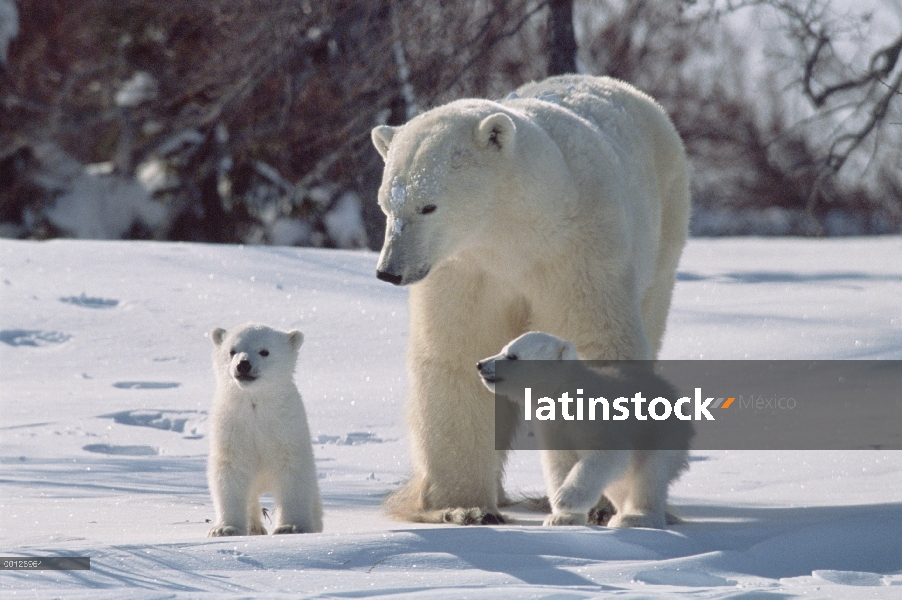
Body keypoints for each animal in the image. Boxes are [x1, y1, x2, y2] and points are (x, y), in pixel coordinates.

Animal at [370, 76, 688, 524]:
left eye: (427, 205)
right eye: (385, 204)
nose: (389, 271)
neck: (514, 235)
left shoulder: (576, 252)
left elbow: (594, 340)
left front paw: (595, 504)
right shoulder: (464, 270)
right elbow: (456, 353)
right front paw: (464, 507)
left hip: (665, 228)